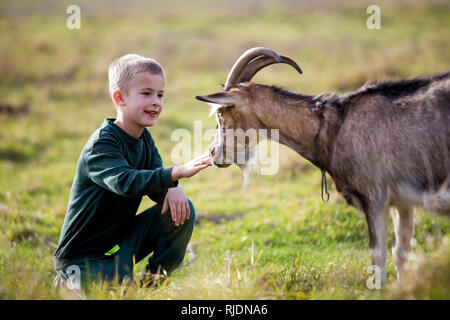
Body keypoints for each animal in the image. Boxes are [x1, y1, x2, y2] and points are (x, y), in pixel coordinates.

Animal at [196, 47, 450, 282]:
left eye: (221, 113)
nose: (213, 153)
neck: (334, 127)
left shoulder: (375, 196)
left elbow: (377, 256)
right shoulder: (403, 202)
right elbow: (401, 252)